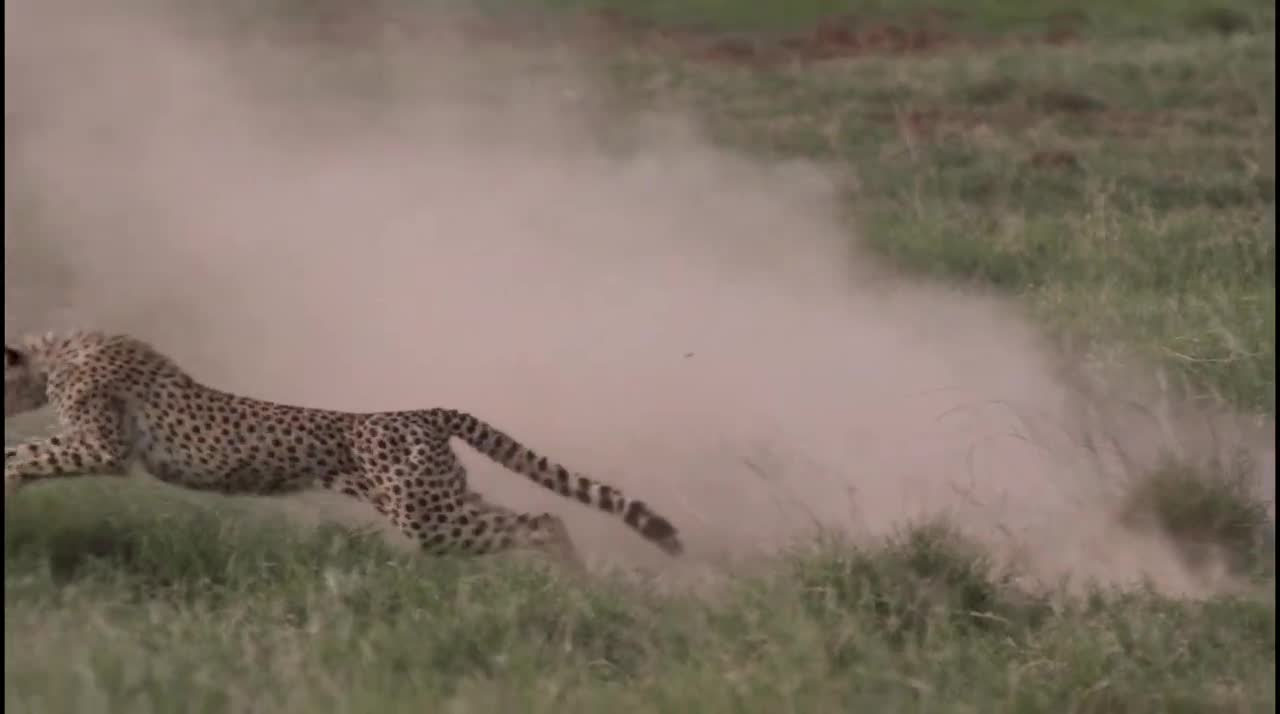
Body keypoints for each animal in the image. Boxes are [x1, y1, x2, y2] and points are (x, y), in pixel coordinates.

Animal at [5, 330, 686, 565]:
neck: (55, 351)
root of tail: (424, 409)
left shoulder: (102, 446)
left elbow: (31, 450)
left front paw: (9, 471)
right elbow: (33, 453)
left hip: (427, 516)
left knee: (544, 520)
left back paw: (573, 582)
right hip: (439, 501)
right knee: (532, 516)